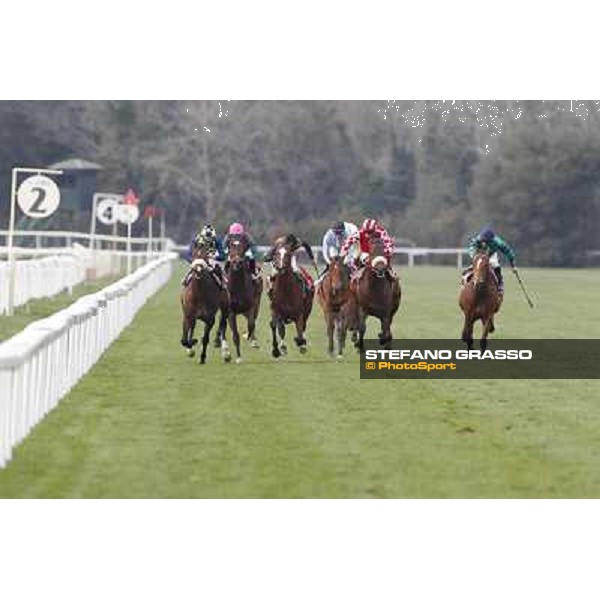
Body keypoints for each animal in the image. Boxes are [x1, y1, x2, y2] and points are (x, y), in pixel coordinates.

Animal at [225, 236, 262, 364]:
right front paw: (238, 357)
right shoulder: (230, 312)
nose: (237, 262)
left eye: (243, 247)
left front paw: (248, 337)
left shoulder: (250, 306)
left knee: (253, 321)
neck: (238, 287)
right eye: (231, 248)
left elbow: (251, 324)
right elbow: (235, 335)